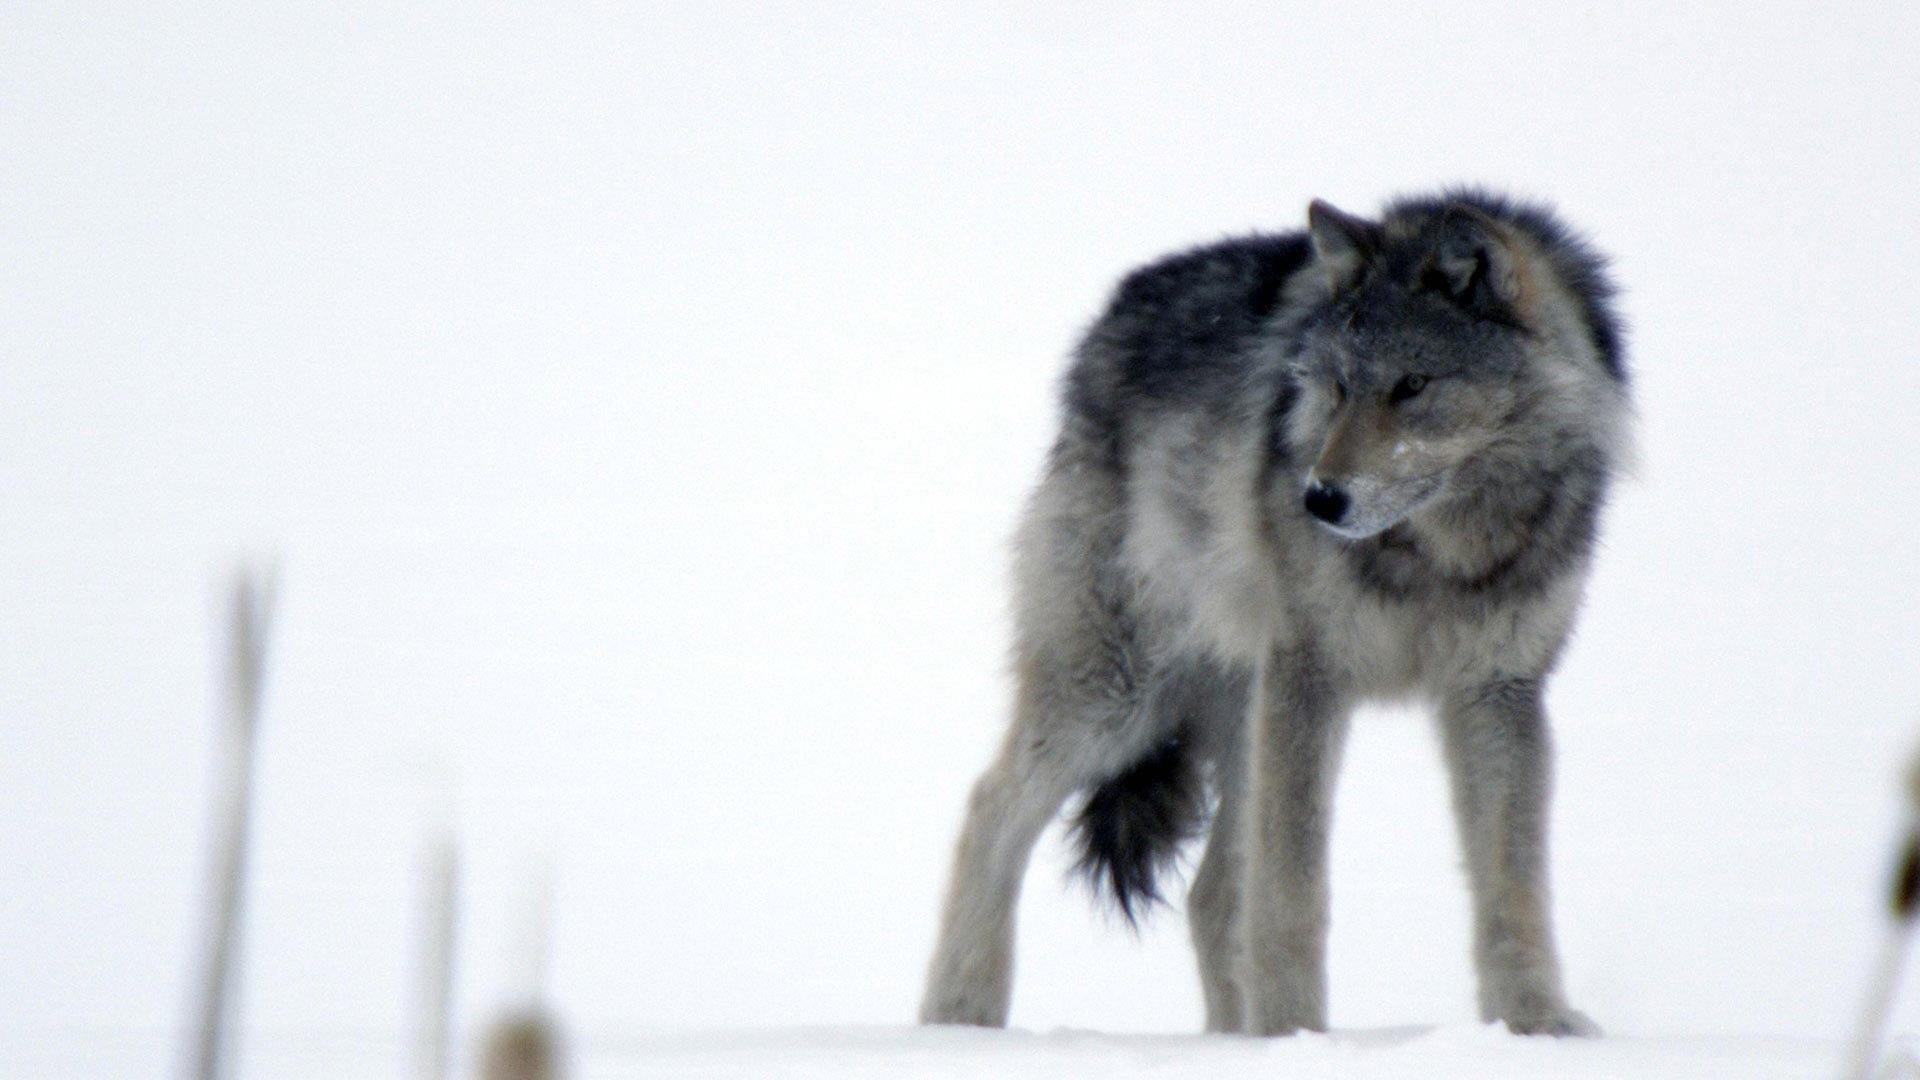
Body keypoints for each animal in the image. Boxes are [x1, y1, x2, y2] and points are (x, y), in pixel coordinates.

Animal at [918, 189, 1626, 1037]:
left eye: (1413, 385)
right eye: (1337, 386)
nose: (1318, 499)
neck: (1440, 555)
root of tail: (1104, 326)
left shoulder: (1499, 692)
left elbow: (1511, 886)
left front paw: (1535, 1025)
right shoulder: (1309, 676)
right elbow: (1292, 890)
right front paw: (1296, 1032)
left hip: (1230, 716)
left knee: (1211, 895)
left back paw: (1231, 1041)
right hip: (1119, 701)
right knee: (991, 810)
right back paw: (960, 1016)